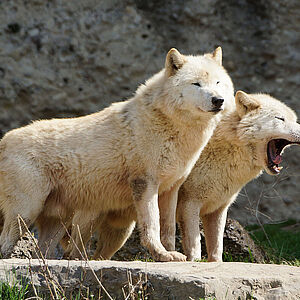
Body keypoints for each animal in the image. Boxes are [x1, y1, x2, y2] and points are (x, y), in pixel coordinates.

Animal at [0, 46, 234, 260]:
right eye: (196, 84)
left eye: (218, 83)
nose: (218, 100)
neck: (172, 128)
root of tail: (4, 140)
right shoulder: (145, 184)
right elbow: (153, 226)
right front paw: (162, 255)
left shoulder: (170, 189)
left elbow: (167, 228)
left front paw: (170, 254)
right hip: (26, 213)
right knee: (6, 244)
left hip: (57, 222)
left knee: (44, 253)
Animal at [176, 91, 300, 262]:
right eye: (280, 119)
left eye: (294, 120)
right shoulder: (189, 204)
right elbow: (195, 246)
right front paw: (195, 263)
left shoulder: (218, 209)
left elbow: (216, 249)